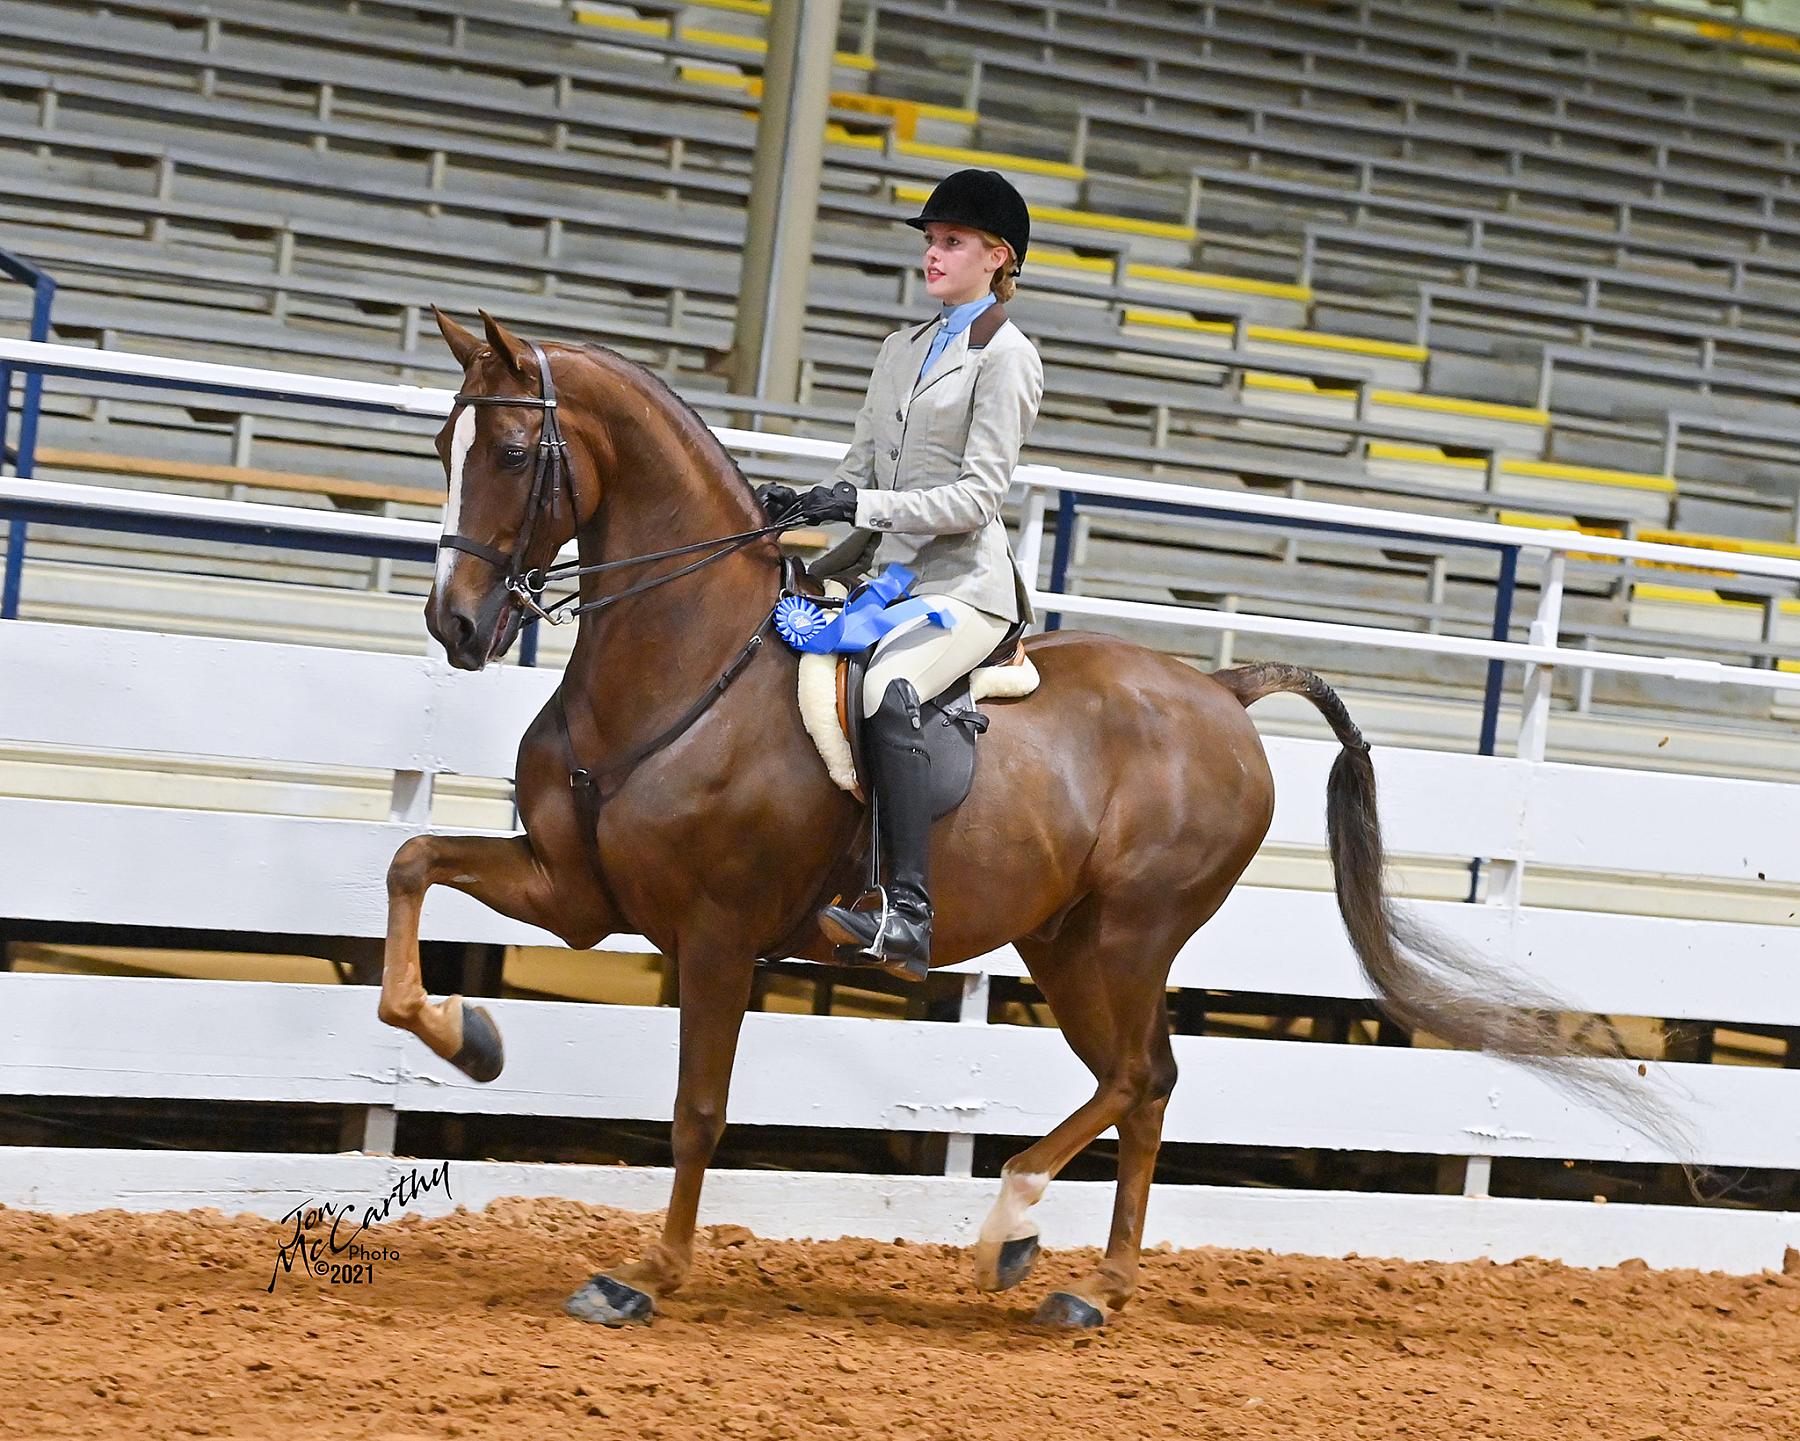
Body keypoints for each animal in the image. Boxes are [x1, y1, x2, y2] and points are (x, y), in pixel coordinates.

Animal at [376, 309, 1648, 1331]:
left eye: (509, 451)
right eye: (443, 449)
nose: (456, 625)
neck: (687, 662)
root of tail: (1221, 692)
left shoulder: (719, 934)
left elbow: (697, 1106)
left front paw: (646, 1273)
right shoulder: (579, 893)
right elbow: (411, 862)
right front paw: (467, 1037)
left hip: (1129, 933)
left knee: (1136, 1077)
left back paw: (1012, 1228)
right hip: (1070, 943)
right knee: (1150, 1081)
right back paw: (1091, 1282)